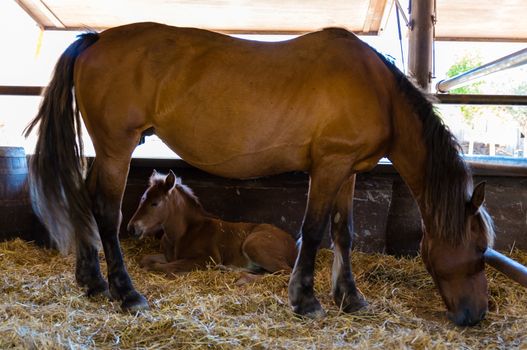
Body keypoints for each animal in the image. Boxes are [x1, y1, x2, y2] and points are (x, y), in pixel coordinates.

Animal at [125, 170, 296, 278]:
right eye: (142, 198)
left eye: (155, 203)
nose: (131, 228)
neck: (184, 233)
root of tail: (294, 243)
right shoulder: (169, 256)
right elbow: (145, 260)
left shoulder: (206, 258)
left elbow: (161, 267)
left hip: (254, 244)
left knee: (284, 273)